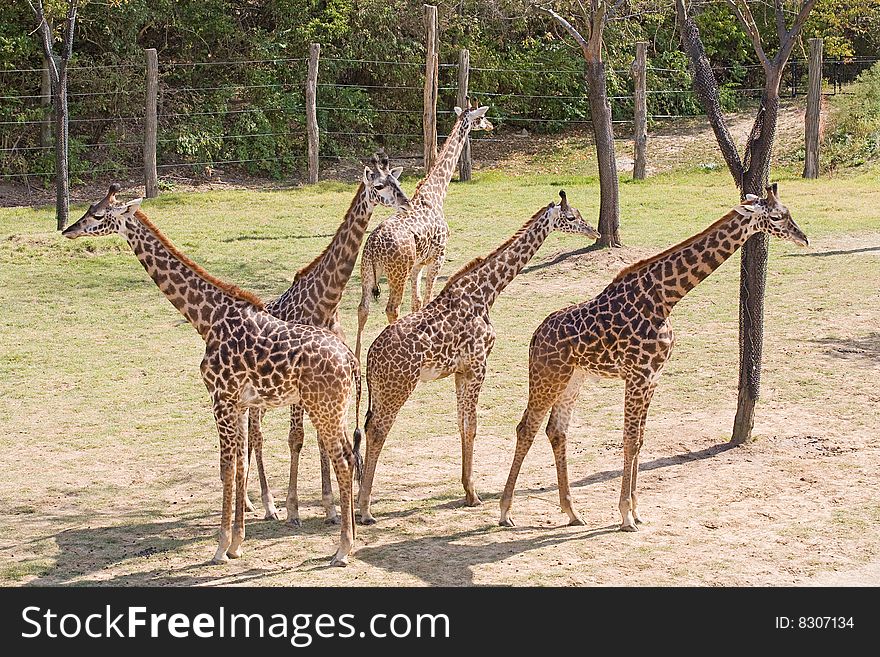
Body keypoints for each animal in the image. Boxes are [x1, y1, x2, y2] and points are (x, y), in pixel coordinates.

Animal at [62, 184, 360, 564]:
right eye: (88, 209)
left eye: (99, 215)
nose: (68, 230)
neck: (206, 319)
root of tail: (350, 359)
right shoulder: (238, 403)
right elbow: (238, 465)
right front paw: (237, 542)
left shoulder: (219, 398)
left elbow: (227, 466)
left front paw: (221, 547)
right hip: (335, 409)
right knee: (347, 456)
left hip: (324, 408)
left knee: (343, 460)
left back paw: (343, 548)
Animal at [244, 152, 410, 524]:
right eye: (380, 185)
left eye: (398, 181)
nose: (406, 203)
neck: (325, 303)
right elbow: (297, 438)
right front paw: (293, 508)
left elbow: (322, 439)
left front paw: (331, 506)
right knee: (255, 435)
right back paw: (265, 504)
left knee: (251, 434)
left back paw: (251, 502)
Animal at [356, 100, 496, 362]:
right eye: (481, 117)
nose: (490, 125)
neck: (436, 194)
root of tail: (374, 247)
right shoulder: (437, 257)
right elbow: (429, 299)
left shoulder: (417, 264)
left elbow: (418, 302)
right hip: (396, 273)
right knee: (391, 308)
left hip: (366, 271)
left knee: (363, 309)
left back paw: (357, 357)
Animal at [356, 191, 600, 524]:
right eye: (572, 217)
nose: (594, 232)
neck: (486, 292)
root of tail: (370, 357)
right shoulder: (478, 364)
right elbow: (472, 425)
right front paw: (474, 494)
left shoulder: (461, 371)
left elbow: (462, 424)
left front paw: (468, 492)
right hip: (399, 386)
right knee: (379, 429)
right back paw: (365, 509)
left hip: (380, 389)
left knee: (368, 426)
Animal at [498, 183, 808, 528]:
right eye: (778, 216)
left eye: (789, 211)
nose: (803, 238)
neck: (664, 298)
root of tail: (535, 336)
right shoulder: (637, 375)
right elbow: (630, 439)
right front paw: (625, 515)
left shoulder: (652, 378)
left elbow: (640, 440)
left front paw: (636, 510)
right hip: (547, 376)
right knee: (526, 427)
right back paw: (505, 512)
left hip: (573, 379)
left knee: (556, 430)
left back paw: (573, 512)